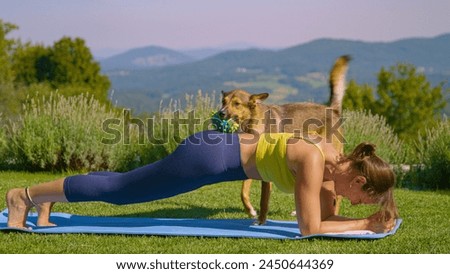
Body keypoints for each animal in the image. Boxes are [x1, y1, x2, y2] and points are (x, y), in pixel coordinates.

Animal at [220, 55, 350, 225]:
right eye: (223, 101)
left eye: (236, 104)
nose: (221, 113)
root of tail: (332, 109)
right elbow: (243, 191)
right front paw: (250, 211)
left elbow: (263, 200)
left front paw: (261, 221)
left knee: (337, 193)